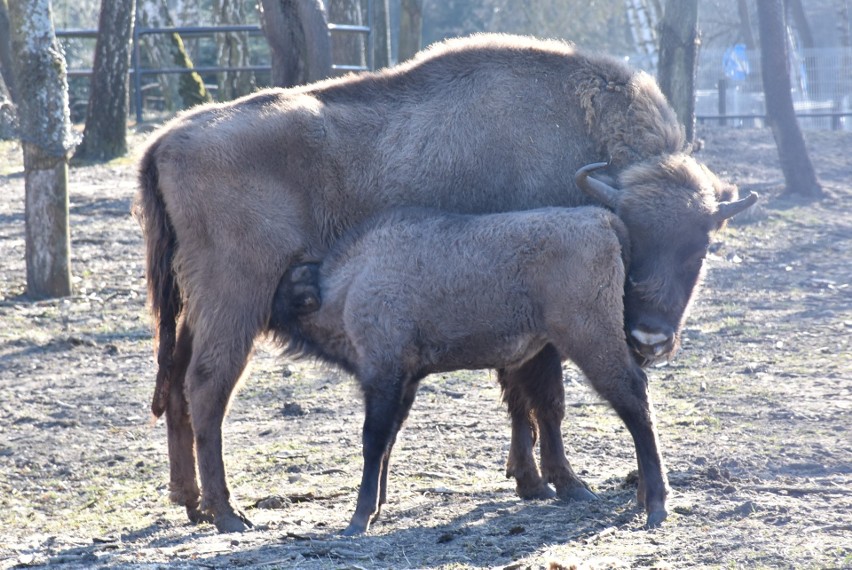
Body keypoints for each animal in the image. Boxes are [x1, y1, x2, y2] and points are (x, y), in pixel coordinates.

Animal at [270, 205, 668, 532]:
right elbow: (389, 440)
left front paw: (358, 518)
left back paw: (656, 505)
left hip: (591, 341)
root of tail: (603, 220)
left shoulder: (383, 376)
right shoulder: (404, 382)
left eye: (286, 286)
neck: (351, 280)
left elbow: (373, 440)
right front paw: (378, 507)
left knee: (634, 400)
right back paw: (640, 498)